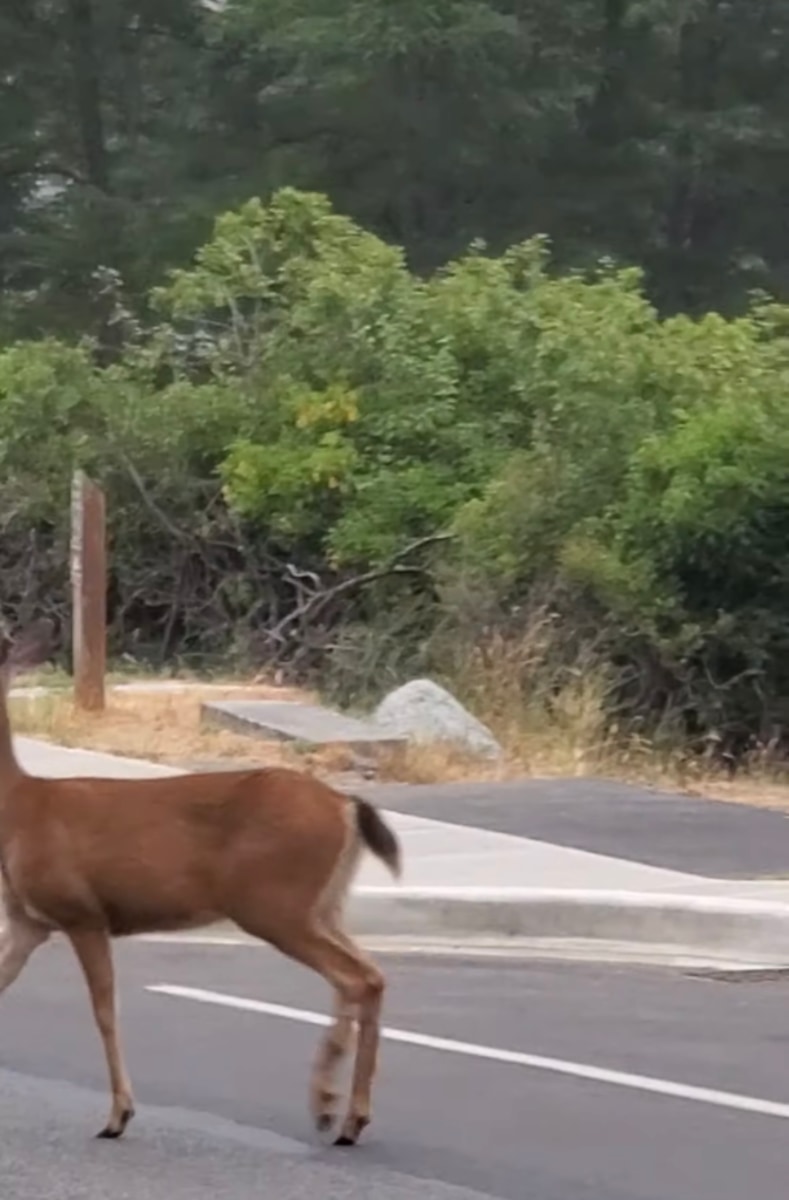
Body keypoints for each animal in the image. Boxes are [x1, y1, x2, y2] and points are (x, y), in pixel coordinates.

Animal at [0, 619, 400, 1142]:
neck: (18, 809)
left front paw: (119, 1114)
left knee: (357, 978)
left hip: (275, 903)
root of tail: (345, 805)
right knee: (369, 974)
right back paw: (340, 1110)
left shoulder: (82, 912)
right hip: (324, 905)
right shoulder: (27, 923)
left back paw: (341, 1114)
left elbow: (105, 1011)